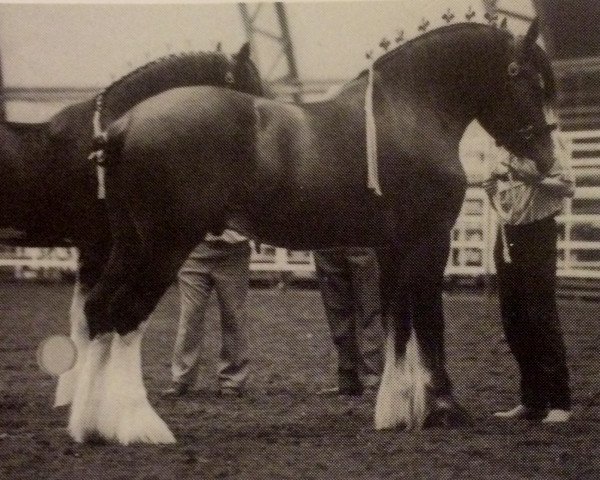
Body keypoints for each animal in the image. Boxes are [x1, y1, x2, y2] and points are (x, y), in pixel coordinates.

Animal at [82, 20, 560, 444]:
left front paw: (394, 411)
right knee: (126, 314)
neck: (410, 111)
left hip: (128, 245)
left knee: (97, 308)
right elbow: (429, 321)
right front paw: (444, 409)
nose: (546, 159)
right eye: (527, 79)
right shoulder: (430, 240)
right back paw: (142, 427)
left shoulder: (392, 248)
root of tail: (122, 126)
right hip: (164, 248)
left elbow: (397, 321)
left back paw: (92, 426)